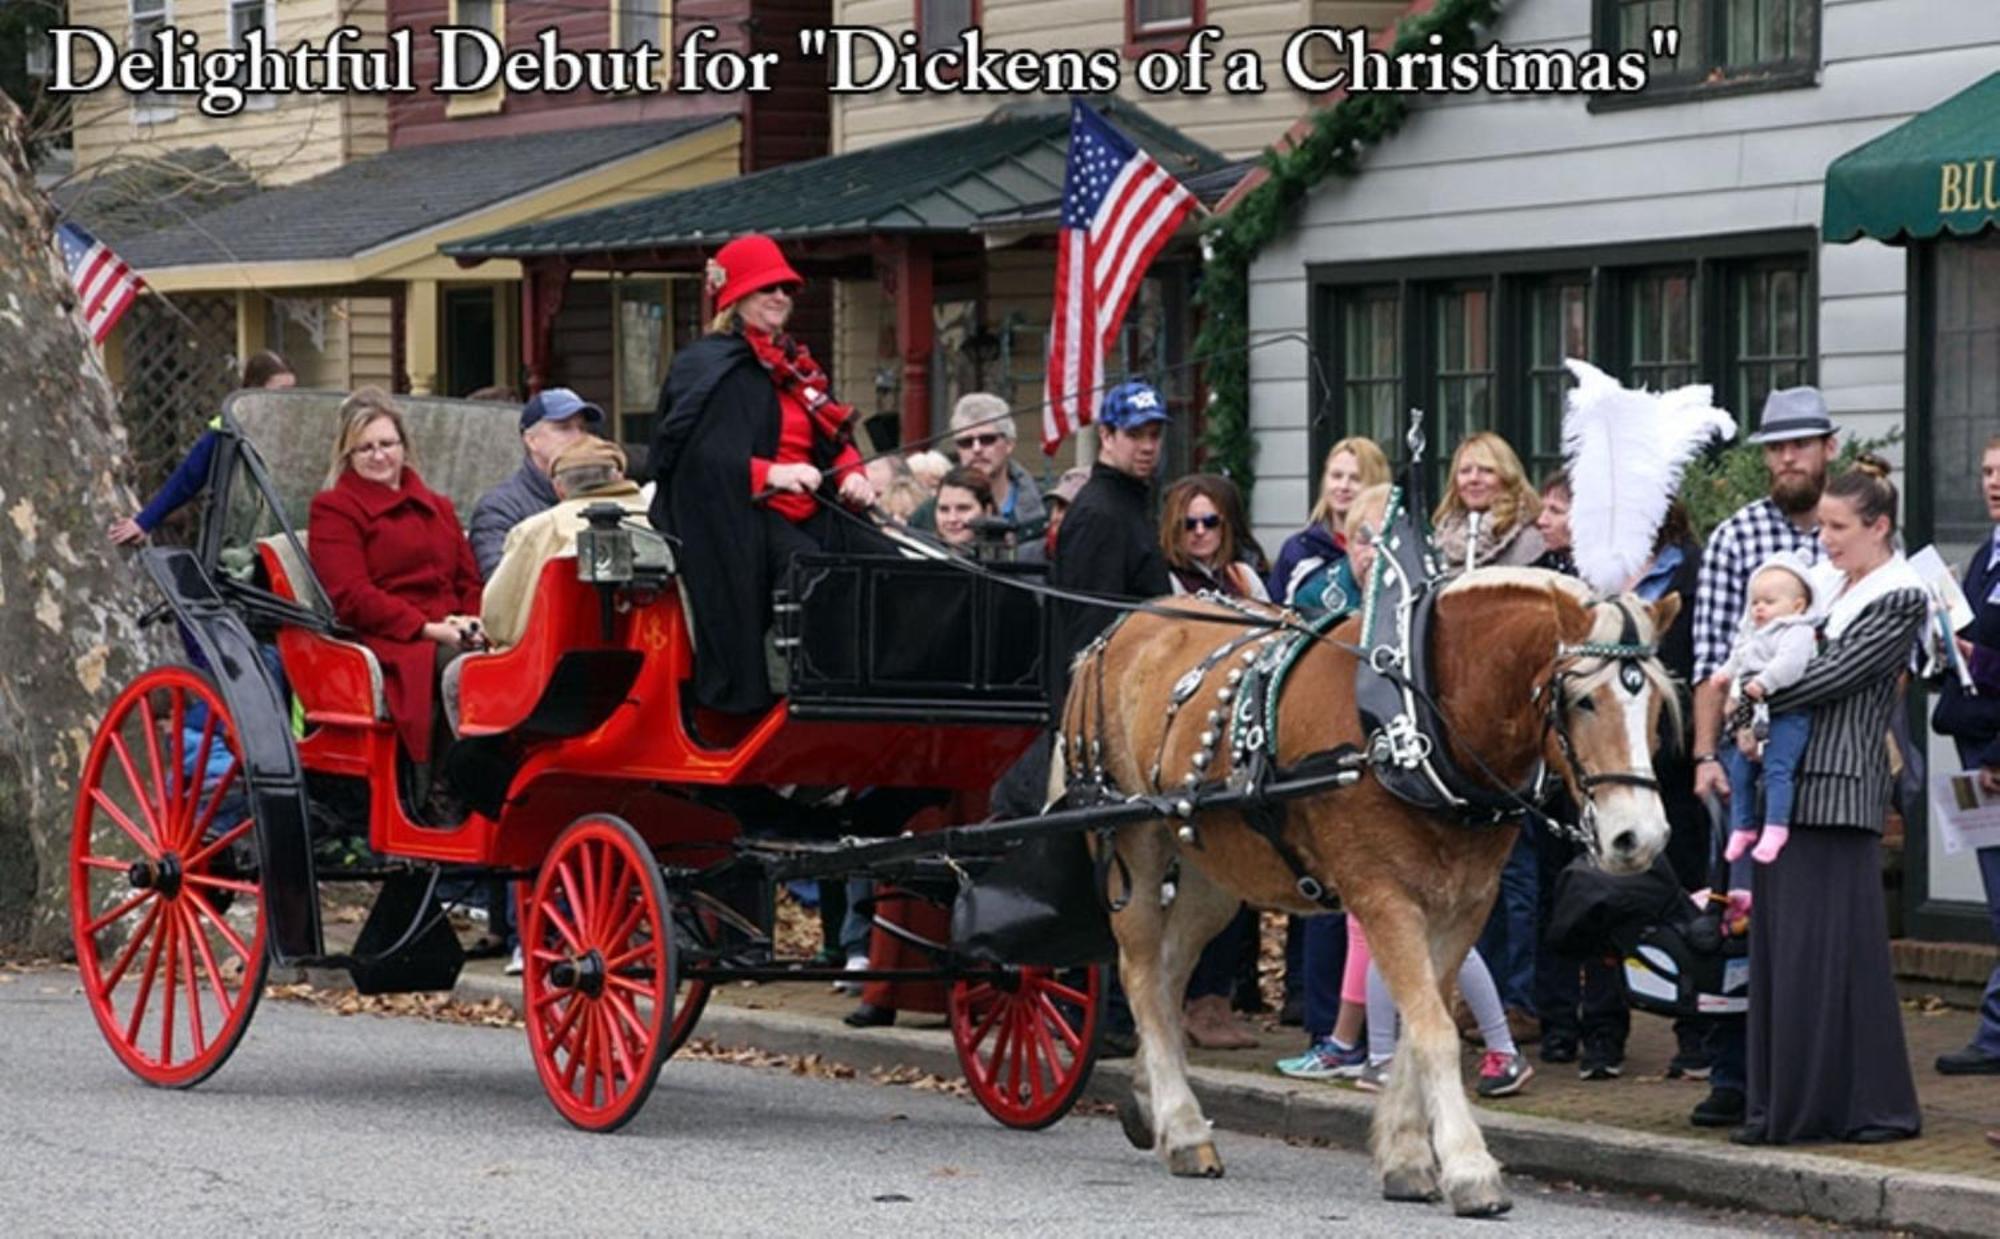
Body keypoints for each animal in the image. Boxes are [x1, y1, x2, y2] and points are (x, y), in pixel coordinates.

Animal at [1056, 567, 1680, 1223]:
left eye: (1656, 705)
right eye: (1583, 700)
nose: (1638, 836)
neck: (1415, 723)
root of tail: (1118, 631)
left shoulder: (1466, 904)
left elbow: (1418, 1026)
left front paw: (1406, 1157)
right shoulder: (1384, 897)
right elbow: (1433, 1030)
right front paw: (1469, 1167)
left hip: (1212, 869)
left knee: (1167, 972)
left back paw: (1150, 1098)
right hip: (1135, 844)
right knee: (1142, 974)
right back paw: (1182, 1128)